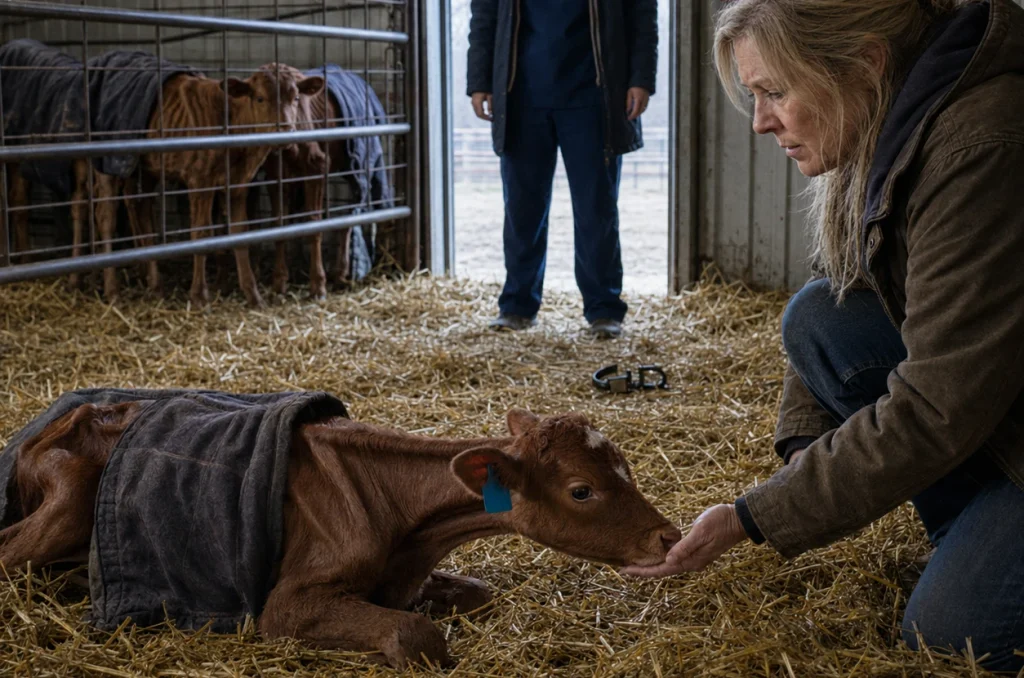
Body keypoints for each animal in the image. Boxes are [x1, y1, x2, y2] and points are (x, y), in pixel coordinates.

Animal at [0, 389, 681, 669]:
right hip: (65, 505)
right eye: (582, 490)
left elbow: (475, 594)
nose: (668, 537)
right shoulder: (285, 603)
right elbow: (414, 634)